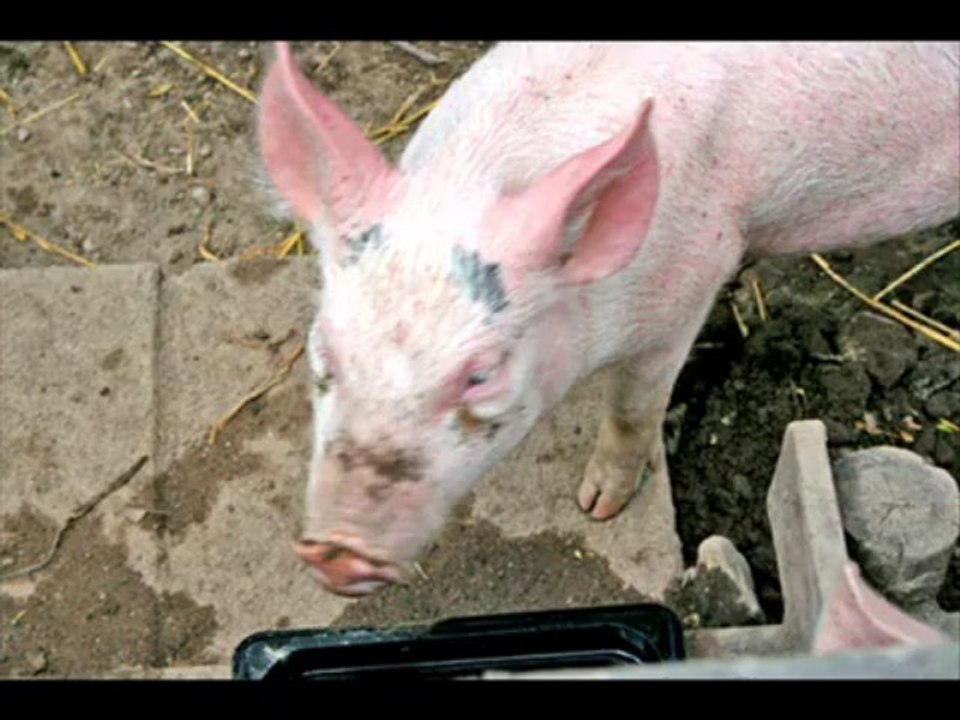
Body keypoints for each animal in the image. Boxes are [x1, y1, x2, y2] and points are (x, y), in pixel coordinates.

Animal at [257, 42, 960, 596]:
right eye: (326, 351)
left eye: (481, 374)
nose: (336, 552)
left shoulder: (692, 279)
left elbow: (632, 408)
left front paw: (596, 508)